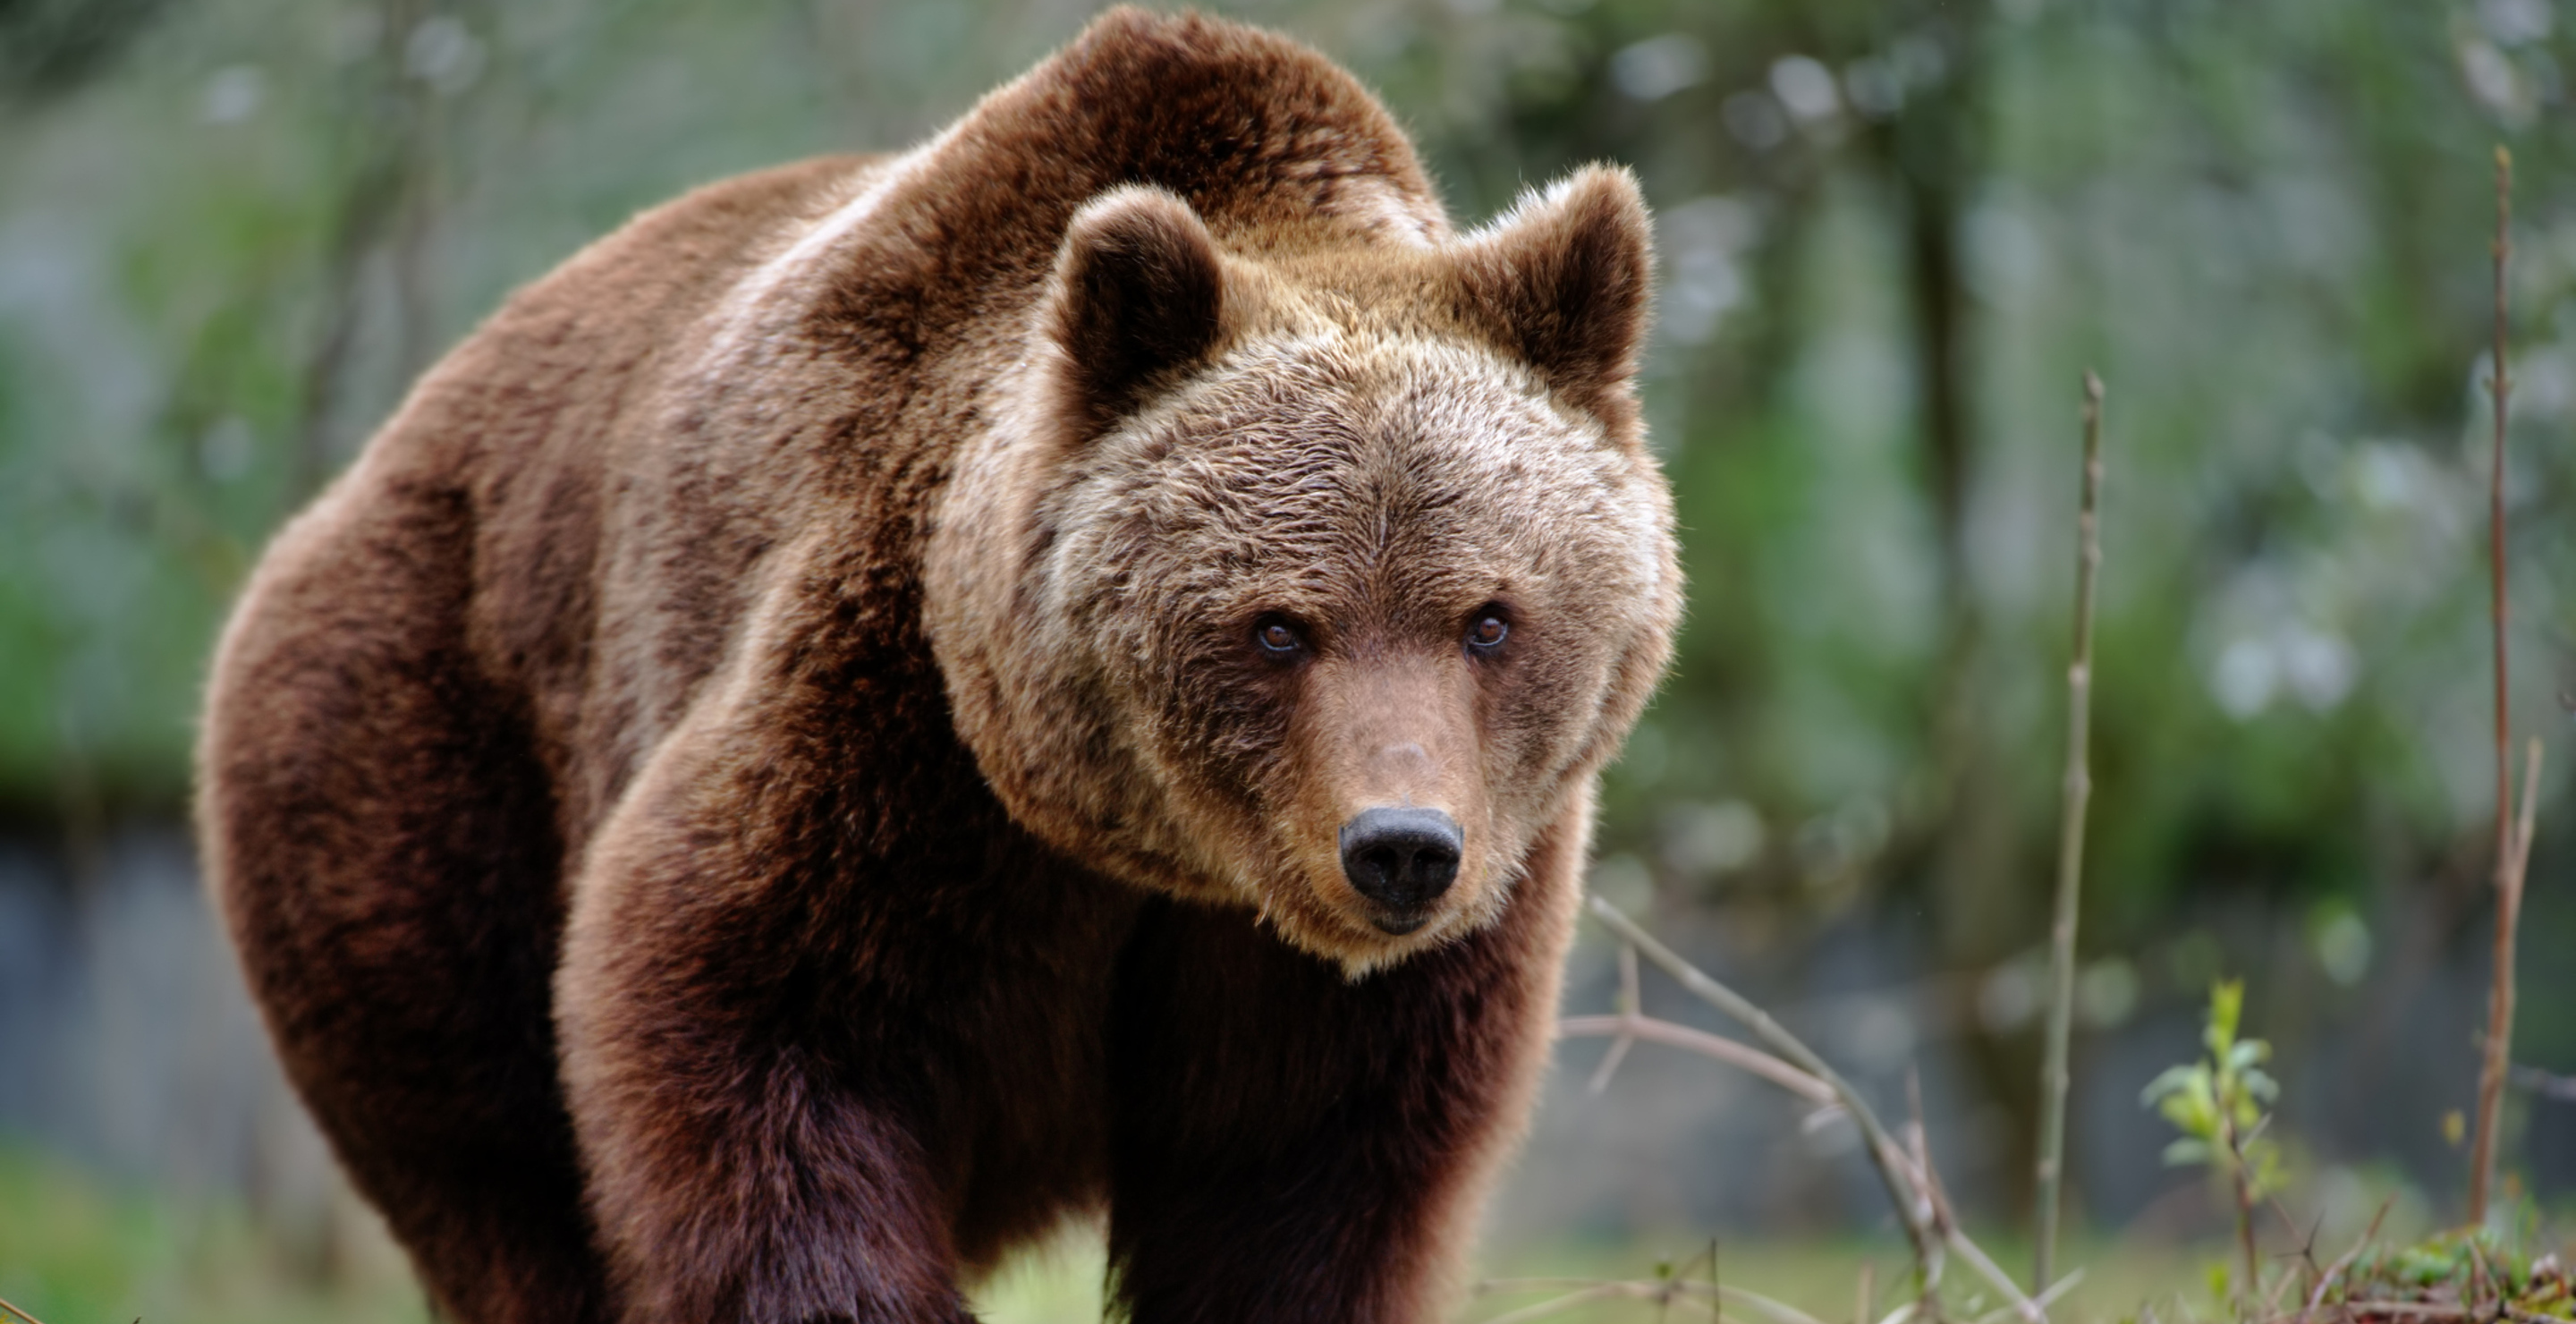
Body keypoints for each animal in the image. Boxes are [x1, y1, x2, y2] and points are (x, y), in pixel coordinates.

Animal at [195, 10, 1680, 1323]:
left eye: (1489, 618)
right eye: (1276, 625)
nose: (1399, 848)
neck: (1154, 857)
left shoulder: (1387, 963)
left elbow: (1299, 1196)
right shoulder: (891, 737)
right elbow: (750, 1032)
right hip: (420, 763)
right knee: (495, 1163)